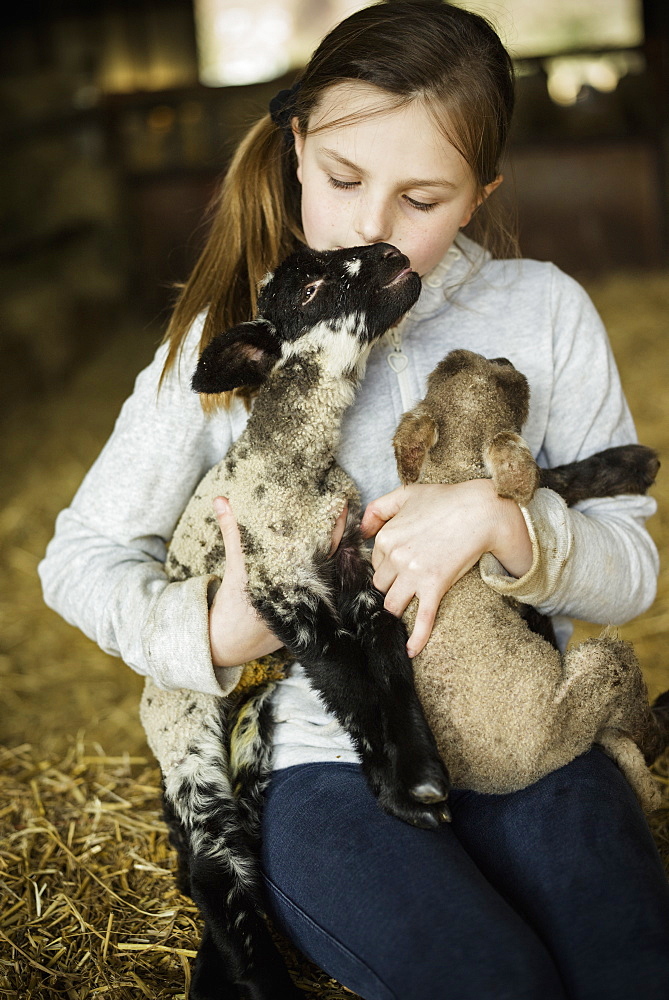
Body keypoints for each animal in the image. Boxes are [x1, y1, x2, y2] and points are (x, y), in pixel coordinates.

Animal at [139, 242, 448, 1000]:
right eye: (307, 288)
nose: (393, 253)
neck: (299, 465)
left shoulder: (353, 566)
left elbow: (386, 672)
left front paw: (415, 777)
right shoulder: (280, 591)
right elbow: (349, 677)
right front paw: (405, 792)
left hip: (252, 731)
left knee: (234, 845)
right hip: (184, 728)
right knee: (214, 863)